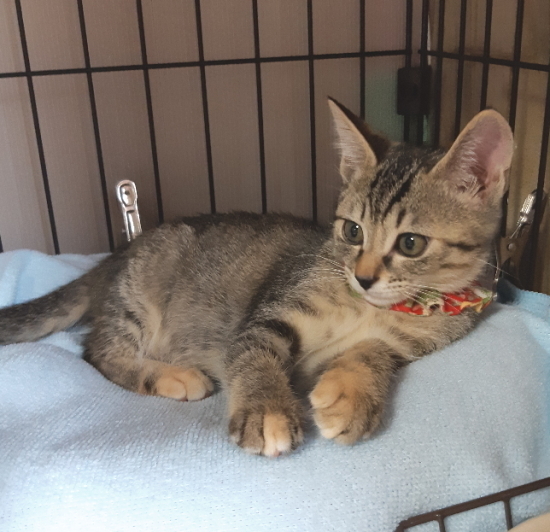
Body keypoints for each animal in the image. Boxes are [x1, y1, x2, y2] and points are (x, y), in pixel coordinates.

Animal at [0, 98, 513, 457]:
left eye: (410, 244)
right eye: (352, 231)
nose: (363, 277)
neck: (370, 308)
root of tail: (121, 251)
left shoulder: (410, 344)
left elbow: (373, 353)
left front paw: (350, 396)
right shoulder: (273, 309)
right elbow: (254, 351)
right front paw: (266, 409)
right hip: (141, 291)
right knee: (97, 351)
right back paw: (173, 376)